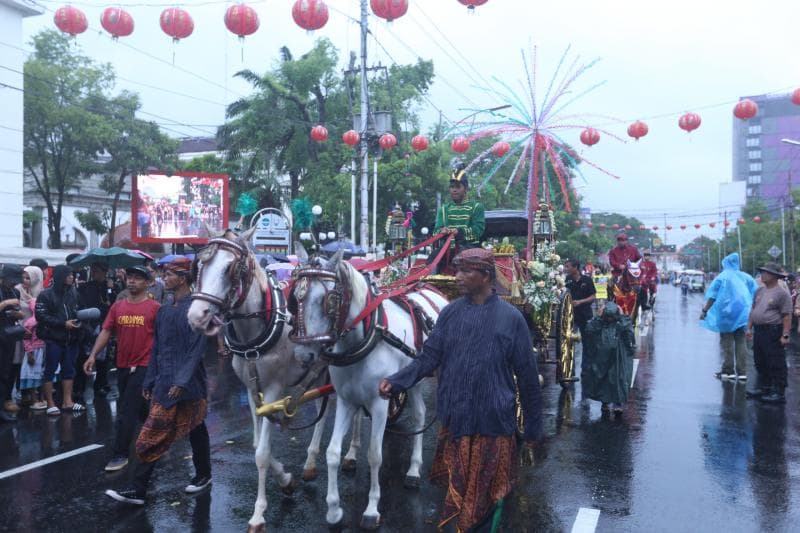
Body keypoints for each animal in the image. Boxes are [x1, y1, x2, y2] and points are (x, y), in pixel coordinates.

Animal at [186, 230, 360, 532]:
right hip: (319, 370)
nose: (197, 316)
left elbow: (262, 454)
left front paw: (258, 514)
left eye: (232, 269)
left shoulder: (273, 389)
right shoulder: (251, 390)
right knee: (321, 410)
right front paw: (286, 480)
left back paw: (350, 453)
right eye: (200, 265)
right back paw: (310, 462)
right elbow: (259, 446)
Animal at [290, 249, 446, 528]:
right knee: (418, 413)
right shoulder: (346, 400)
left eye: (329, 300)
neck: (364, 339)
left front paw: (372, 509)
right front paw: (333, 510)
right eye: (295, 297)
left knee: (424, 415)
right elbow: (332, 452)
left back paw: (415, 469)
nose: (302, 355)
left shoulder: (380, 403)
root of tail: (433, 291)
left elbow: (374, 455)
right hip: (413, 380)